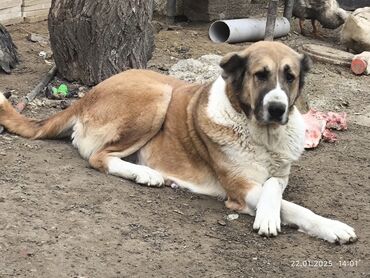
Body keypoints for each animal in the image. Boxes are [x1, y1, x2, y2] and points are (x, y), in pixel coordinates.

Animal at [0, 41, 358, 243]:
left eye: (290, 77)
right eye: (260, 75)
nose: (277, 108)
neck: (261, 134)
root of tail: (87, 95)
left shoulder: (279, 174)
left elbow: (278, 189)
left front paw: (322, 225)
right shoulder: (240, 190)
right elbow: (290, 206)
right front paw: (279, 219)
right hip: (159, 94)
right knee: (98, 157)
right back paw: (146, 174)